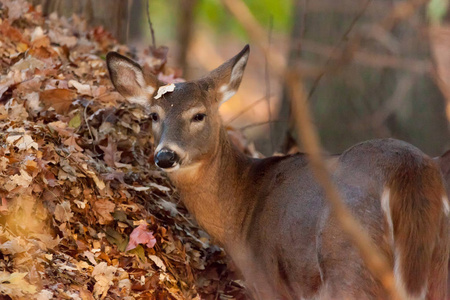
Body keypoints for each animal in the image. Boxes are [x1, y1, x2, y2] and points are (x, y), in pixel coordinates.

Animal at [109, 45, 450, 300]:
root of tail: (410, 170)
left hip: (349, 262)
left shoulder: (266, 279)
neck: (240, 214)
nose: (166, 156)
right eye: (154, 115)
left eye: (198, 115)